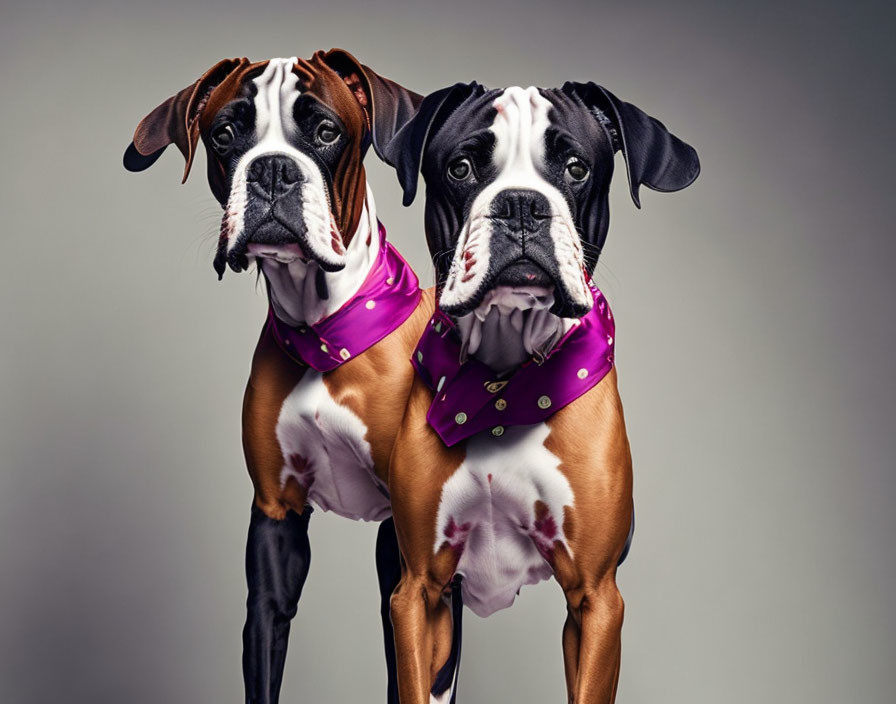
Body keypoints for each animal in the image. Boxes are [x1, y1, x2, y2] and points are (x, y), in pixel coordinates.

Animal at [123, 49, 430, 704]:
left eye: (326, 131)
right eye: (225, 134)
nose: (272, 170)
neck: (324, 332)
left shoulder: (410, 555)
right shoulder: (274, 525)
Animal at [380, 84, 700, 704]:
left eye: (575, 168)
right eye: (461, 168)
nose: (522, 204)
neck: (502, 386)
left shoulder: (596, 599)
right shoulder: (418, 594)